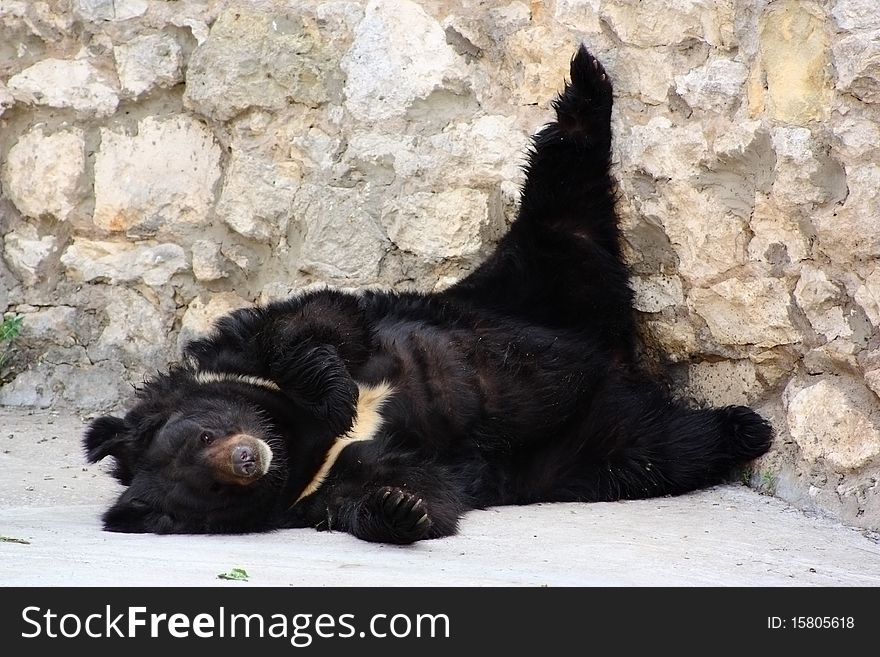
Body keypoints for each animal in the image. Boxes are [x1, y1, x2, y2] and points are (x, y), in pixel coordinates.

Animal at [82, 46, 768, 544]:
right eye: (215, 488)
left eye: (204, 435)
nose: (248, 458)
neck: (302, 442)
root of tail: (617, 356)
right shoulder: (333, 482)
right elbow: (420, 490)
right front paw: (398, 509)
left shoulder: (288, 338)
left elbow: (309, 322)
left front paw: (333, 391)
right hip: (589, 447)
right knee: (667, 448)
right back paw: (741, 428)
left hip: (524, 279)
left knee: (562, 191)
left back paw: (585, 88)